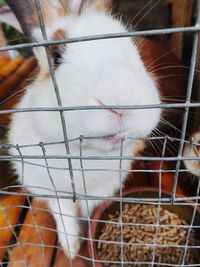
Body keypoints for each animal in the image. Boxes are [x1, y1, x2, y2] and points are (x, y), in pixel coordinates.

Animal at [5, 0, 188, 260]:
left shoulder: (99, 190)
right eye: (56, 57)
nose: (121, 98)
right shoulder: (53, 191)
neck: (84, 155)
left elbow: (87, 214)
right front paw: (71, 249)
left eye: (133, 46)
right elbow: (65, 218)